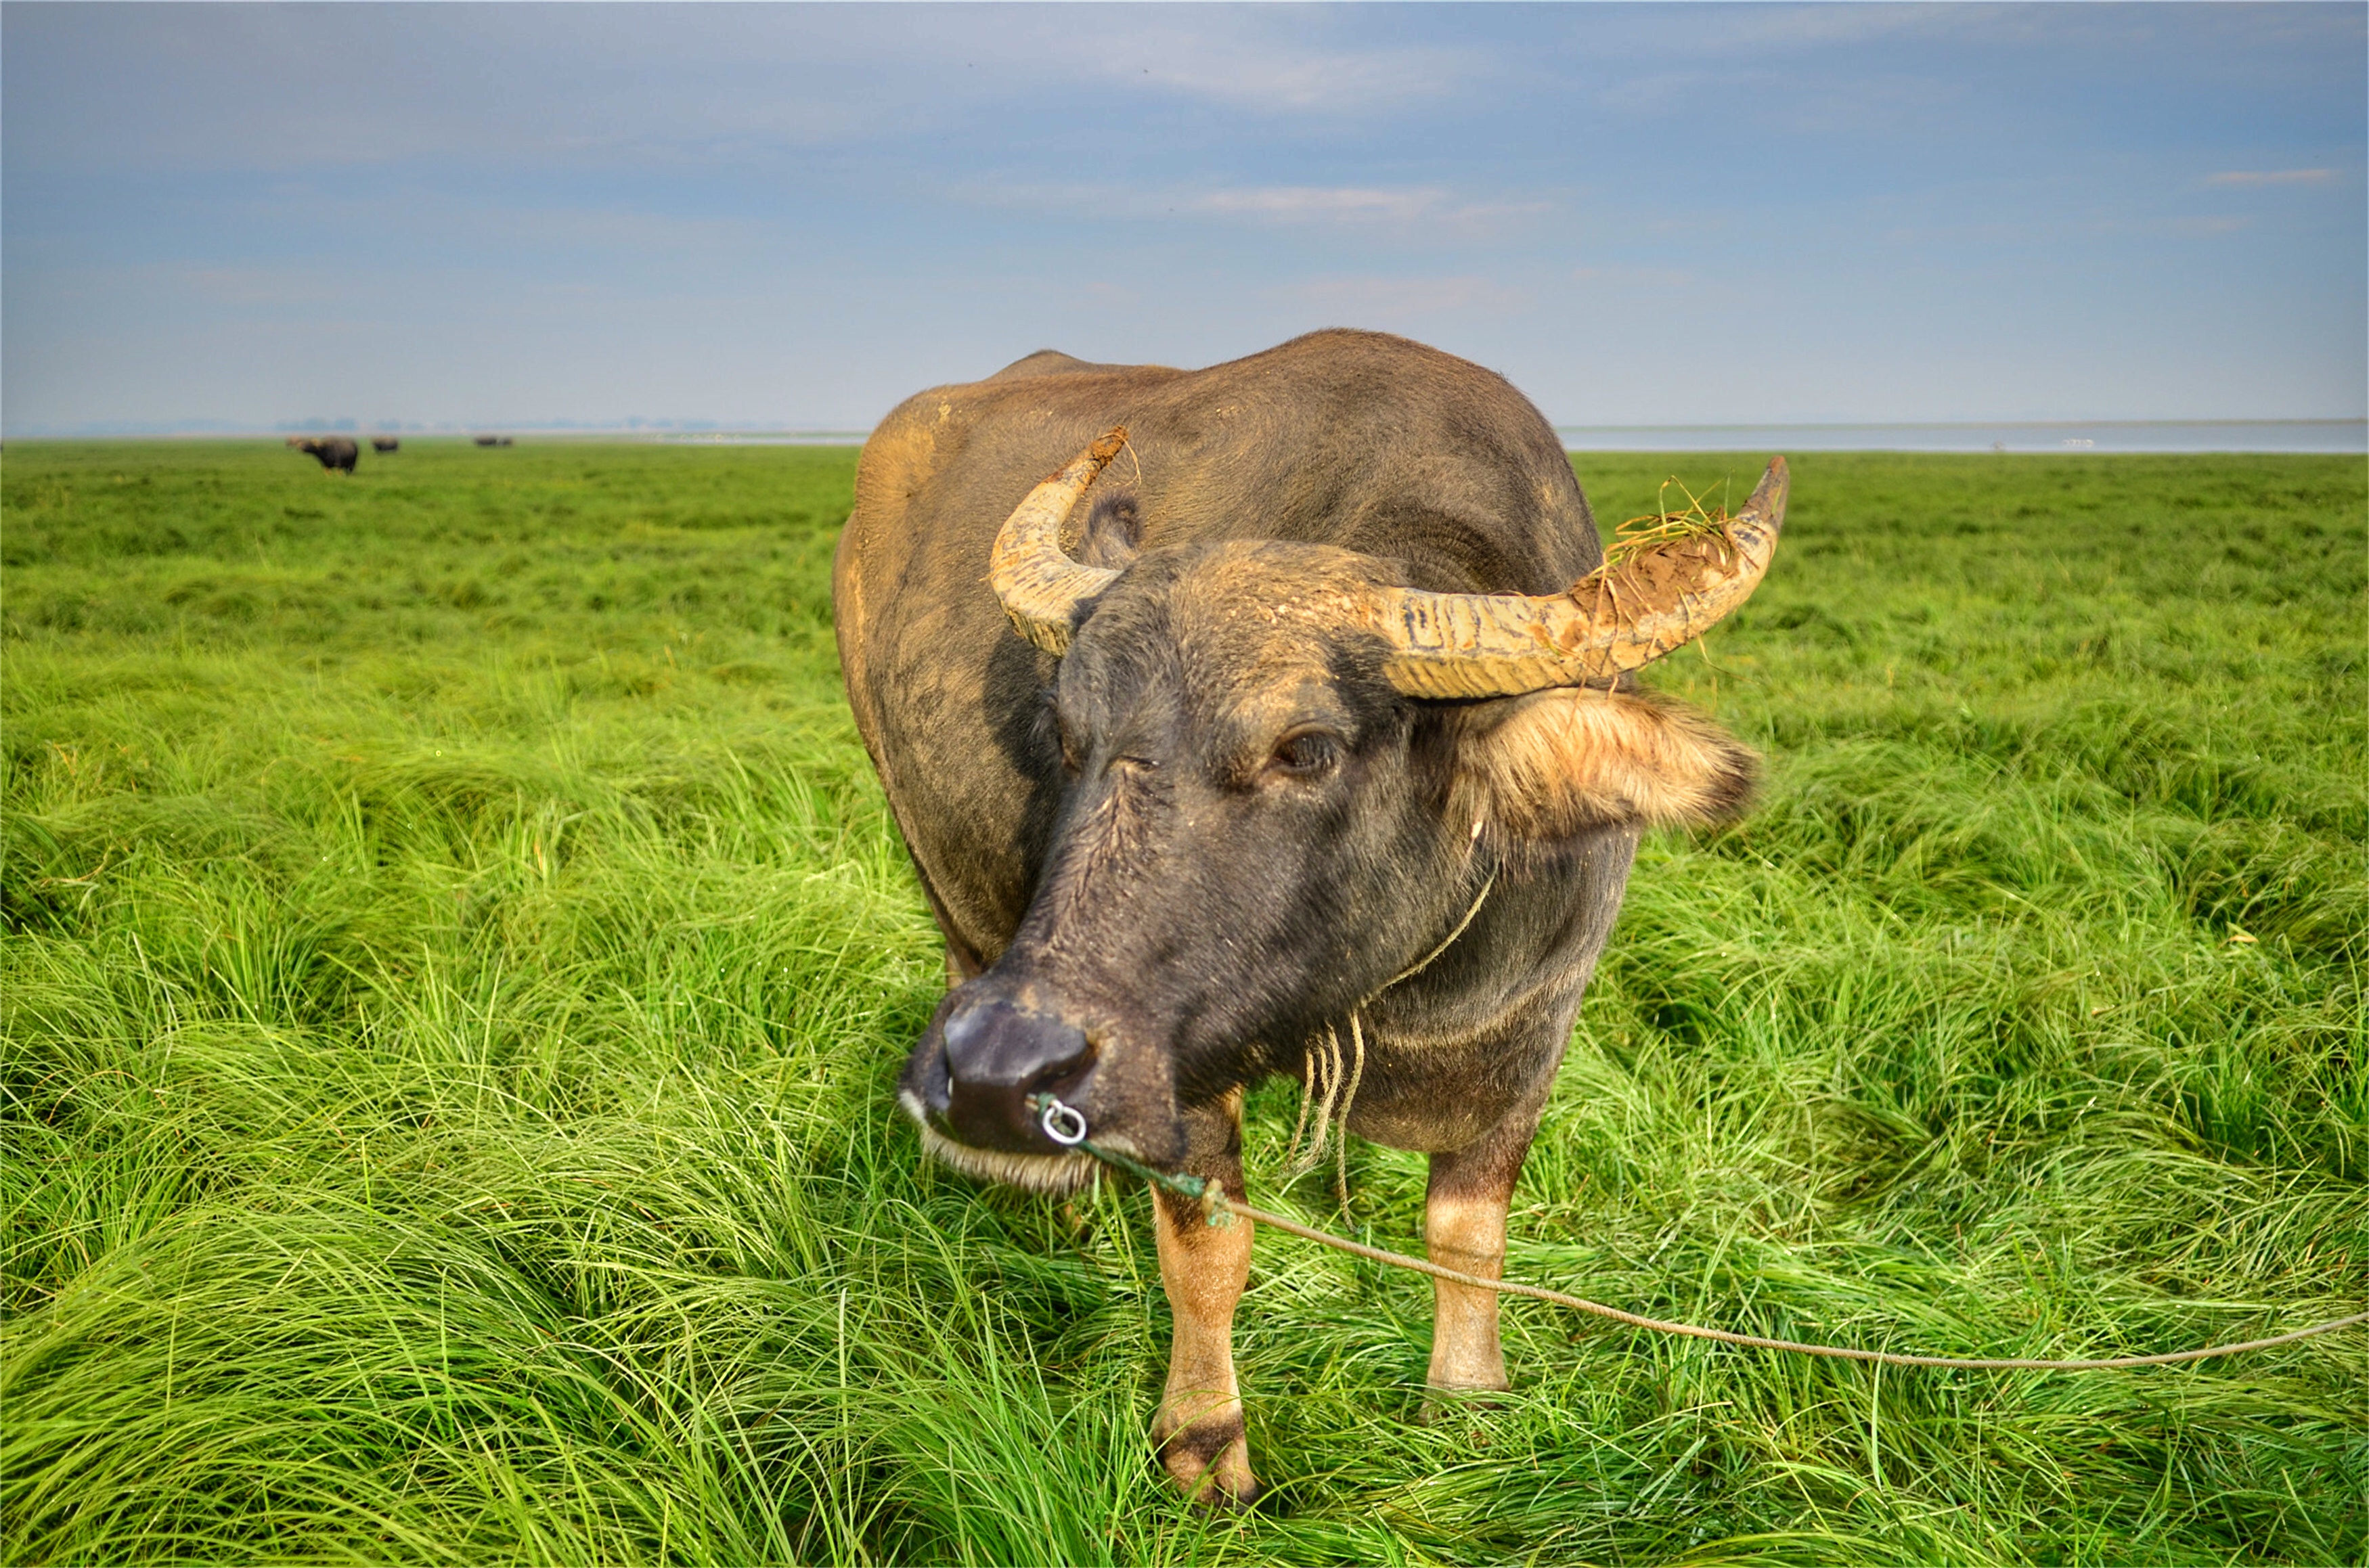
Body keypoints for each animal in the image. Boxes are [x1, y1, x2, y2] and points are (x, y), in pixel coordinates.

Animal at [834, 332, 1781, 1516]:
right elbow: (1210, 1248)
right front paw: (1205, 1442)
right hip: (936, 874)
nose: (998, 1072)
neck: (1398, 993)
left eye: (1308, 748)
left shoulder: (1537, 1030)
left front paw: (1467, 1403)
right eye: (1068, 733)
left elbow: (1468, 1234)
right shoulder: (1183, 1064)